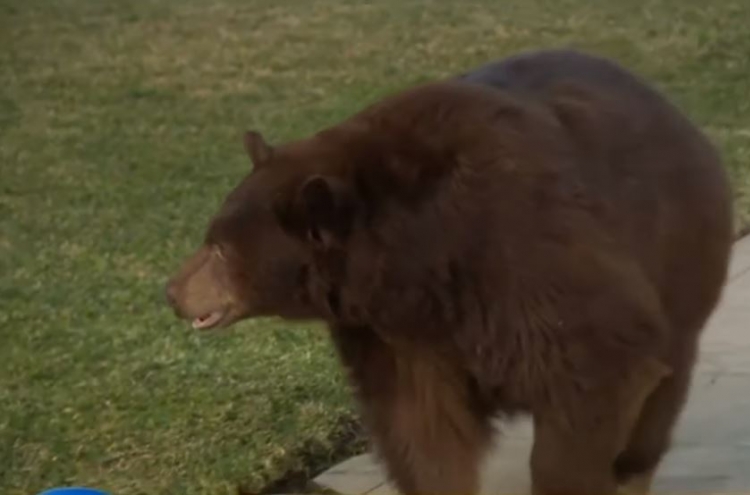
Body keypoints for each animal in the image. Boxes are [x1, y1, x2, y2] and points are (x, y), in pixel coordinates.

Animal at [164, 47, 736, 495]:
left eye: (219, 248)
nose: (172, 290)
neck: (412, 261)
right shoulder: (395, 333)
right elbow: (420, 428)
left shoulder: (524, 254)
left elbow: (596, 367)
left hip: (679, 260)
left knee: (657, 397)